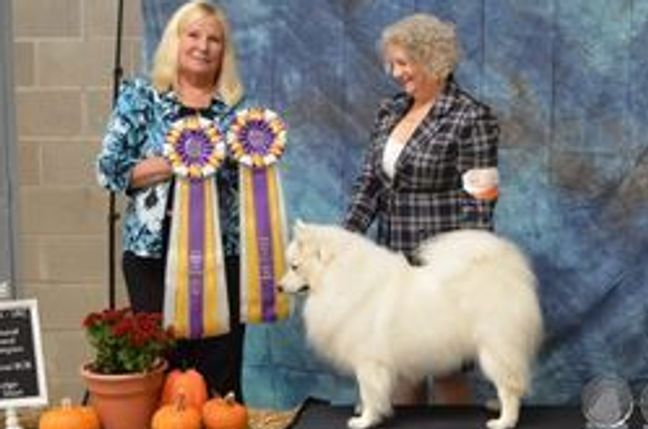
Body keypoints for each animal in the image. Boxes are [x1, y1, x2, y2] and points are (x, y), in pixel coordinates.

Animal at [278, 221, 543, 429]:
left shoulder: (368, 362)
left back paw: (504, 421)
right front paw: (370, 411)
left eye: (294, 266)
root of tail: (506, 272)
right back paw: (496, 406)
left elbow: (368, 391)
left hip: (495, 349)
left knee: (509, 388)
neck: (339, 278)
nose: (279, 287)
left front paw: (365, 420)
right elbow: (373, 393)